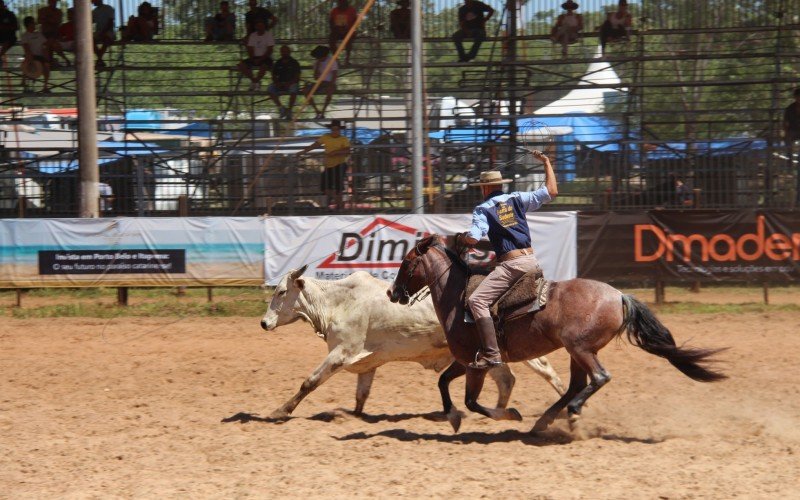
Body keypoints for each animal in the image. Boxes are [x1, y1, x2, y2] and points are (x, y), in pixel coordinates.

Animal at [260, 266, 564, 426]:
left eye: (282, 291)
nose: (264, 323)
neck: (338, 302)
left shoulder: (341, 353)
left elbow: (309, 382)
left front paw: (280, 411)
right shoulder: (367, 363)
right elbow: (361, 396)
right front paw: (352, 416)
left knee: (547, 372)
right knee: (506, 380)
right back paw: (494, 414)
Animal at [384, 234, 728, 434]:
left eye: (407, 262)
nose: (392, 292)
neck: (459, 298)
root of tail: (619, 295)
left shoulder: (476, 364)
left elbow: (471, 401)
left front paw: (510, 415)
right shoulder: (464, 361)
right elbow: (443, 382)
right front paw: (452, 417)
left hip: (580, 348)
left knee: (599, 378)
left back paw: (569, 414)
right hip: (576, 351)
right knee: (576, 384)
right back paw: (545, 421)